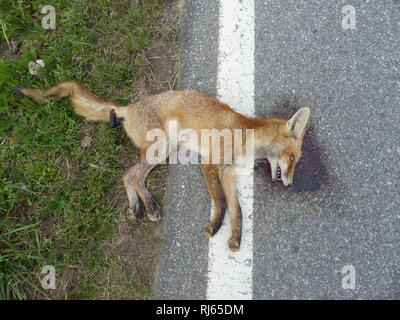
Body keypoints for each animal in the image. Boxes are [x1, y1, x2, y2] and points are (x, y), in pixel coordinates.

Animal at [14, 82, 310, 252]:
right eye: (293, 158)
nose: (291, 182)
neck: (246, 136)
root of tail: (128, 106)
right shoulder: (209, 164)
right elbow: (222, 203)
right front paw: (214, 227)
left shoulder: (227, 173)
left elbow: (237, 210)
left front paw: (235, 239)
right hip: (163, 148)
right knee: (132, 176)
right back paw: (150, 207)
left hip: (164, 150)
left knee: (128, 175)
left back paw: (136, 206)